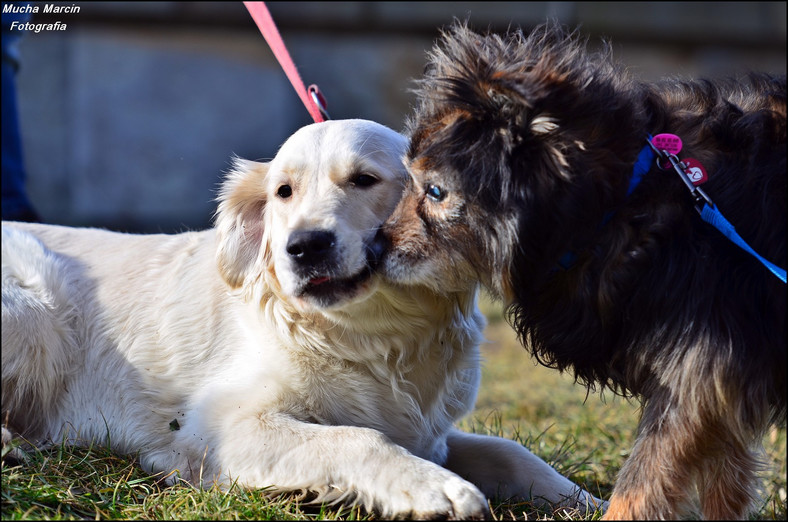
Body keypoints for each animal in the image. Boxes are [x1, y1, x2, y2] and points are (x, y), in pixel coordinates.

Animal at [1, 120, 604, 516]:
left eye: (364, 179)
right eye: (283, 192)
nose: (304, 246)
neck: (378, 338)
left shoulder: (430, 433)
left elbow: (513, 453)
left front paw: (592, 502)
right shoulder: (221, 425)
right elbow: (355, 438)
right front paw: (435, 488)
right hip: (37, 311)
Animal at [378, 21, 784, 520]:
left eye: (435, 191)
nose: (375, 246)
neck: (623, 197)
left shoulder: (702, 366)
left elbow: (642, 481)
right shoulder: (718, 374)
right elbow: (723, 477)